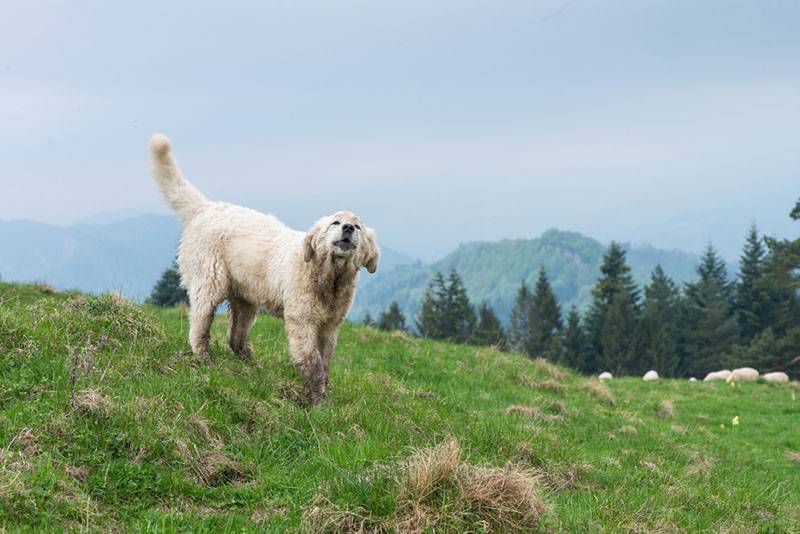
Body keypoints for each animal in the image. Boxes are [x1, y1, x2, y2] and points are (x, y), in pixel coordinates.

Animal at [148, 134, 380, 406]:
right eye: (335, 222)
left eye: (358, 226)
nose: (348, 228)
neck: (328, 277)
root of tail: (207, 208)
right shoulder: (302, 321)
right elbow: (312, 362)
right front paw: (317, 401)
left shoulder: (329, 327)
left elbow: (324, 363)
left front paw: (323, 395)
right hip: (210, 280)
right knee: (199, 324)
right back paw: (205, 359)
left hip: (246, 298)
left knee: (236, 337)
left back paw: (253, 367)